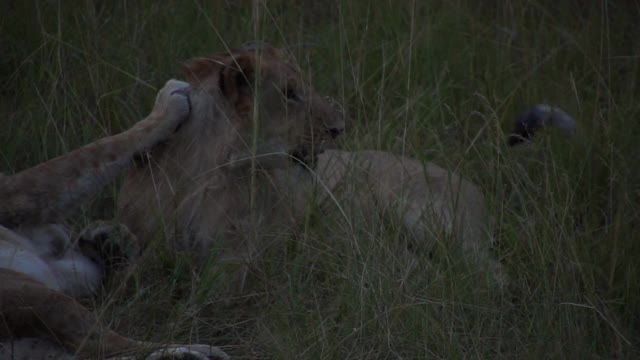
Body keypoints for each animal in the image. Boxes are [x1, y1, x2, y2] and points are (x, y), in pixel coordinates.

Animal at [0, 81, 230, 360]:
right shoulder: (15, 196)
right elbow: (92, 153)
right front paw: (167, 105)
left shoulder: (56, 262)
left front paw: (108, 240)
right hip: (28, 293)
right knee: (97, 343)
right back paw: (198, 352)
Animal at [115, 45, 516, 288]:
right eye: (290, 93)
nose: (341, 127)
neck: (203, 171)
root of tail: (477, 191)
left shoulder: (239, 262)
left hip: (423, 216)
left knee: (493, 273)